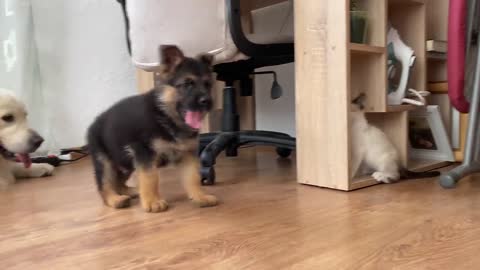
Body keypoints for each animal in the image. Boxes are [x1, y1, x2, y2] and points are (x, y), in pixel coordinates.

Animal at [86, 45, 218, 212]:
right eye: (188, 84)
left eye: (208, 85)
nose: (207, 101)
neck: (166, 115)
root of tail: (93, 124)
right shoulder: (145, 153)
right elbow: (150, 177)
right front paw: (152, 201)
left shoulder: (188, 154)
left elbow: (193, 177)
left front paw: (200, 196)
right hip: (105, 162)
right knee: (105, 185)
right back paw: (115, 199)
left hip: (124, 162)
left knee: (119, 183)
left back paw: (131, 191)